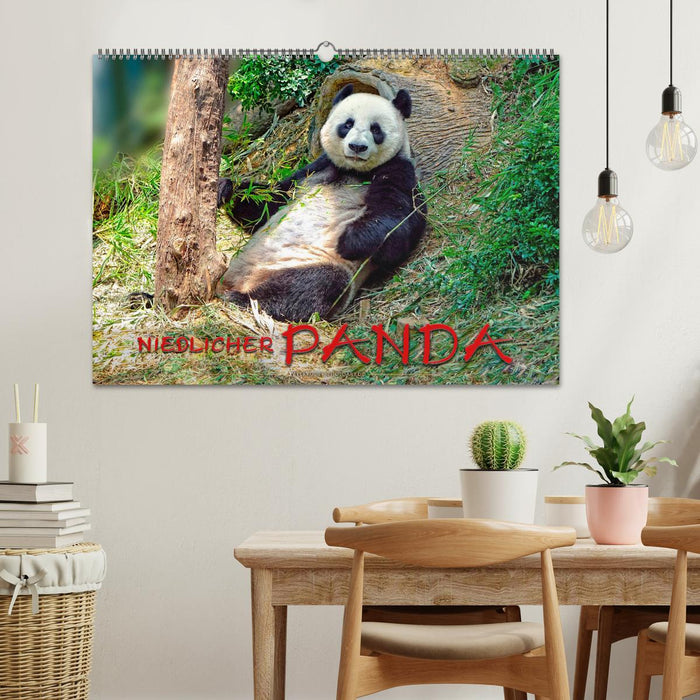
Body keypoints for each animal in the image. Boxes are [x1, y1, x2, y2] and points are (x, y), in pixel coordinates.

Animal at [216, 84, 427, 322]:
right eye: (347, 124)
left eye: (376, 129)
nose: (357, 147)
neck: (353, 171)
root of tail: (241, 280)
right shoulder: (315, 168)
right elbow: (270, 203)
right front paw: (225, 188)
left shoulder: (398, 170)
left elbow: (399, 224)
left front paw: (350, 240)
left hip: (306, 263)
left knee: (312, 285)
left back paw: (244, 299)